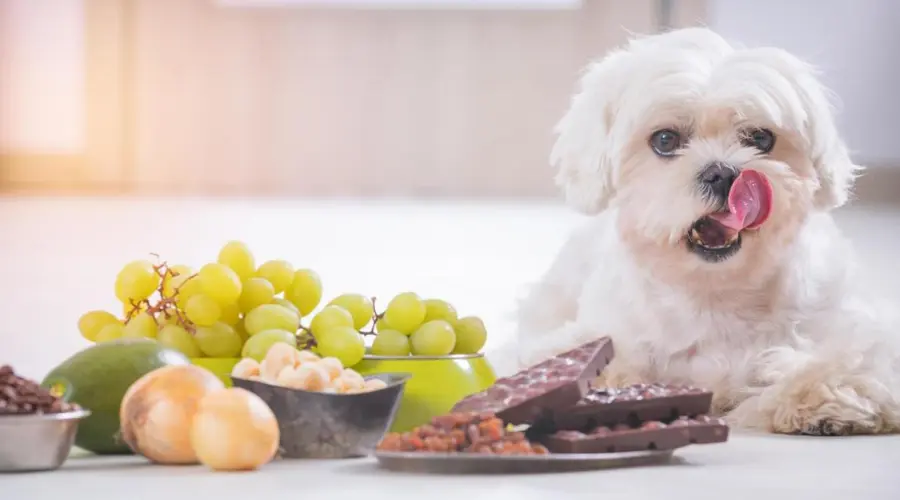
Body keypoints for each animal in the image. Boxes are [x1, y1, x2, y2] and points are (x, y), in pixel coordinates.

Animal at [510, 26, 900, 434]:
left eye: (760, 138)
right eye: (665, 140)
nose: (722, 173)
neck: (714, 293)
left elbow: (845, 361)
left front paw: (818, 398)